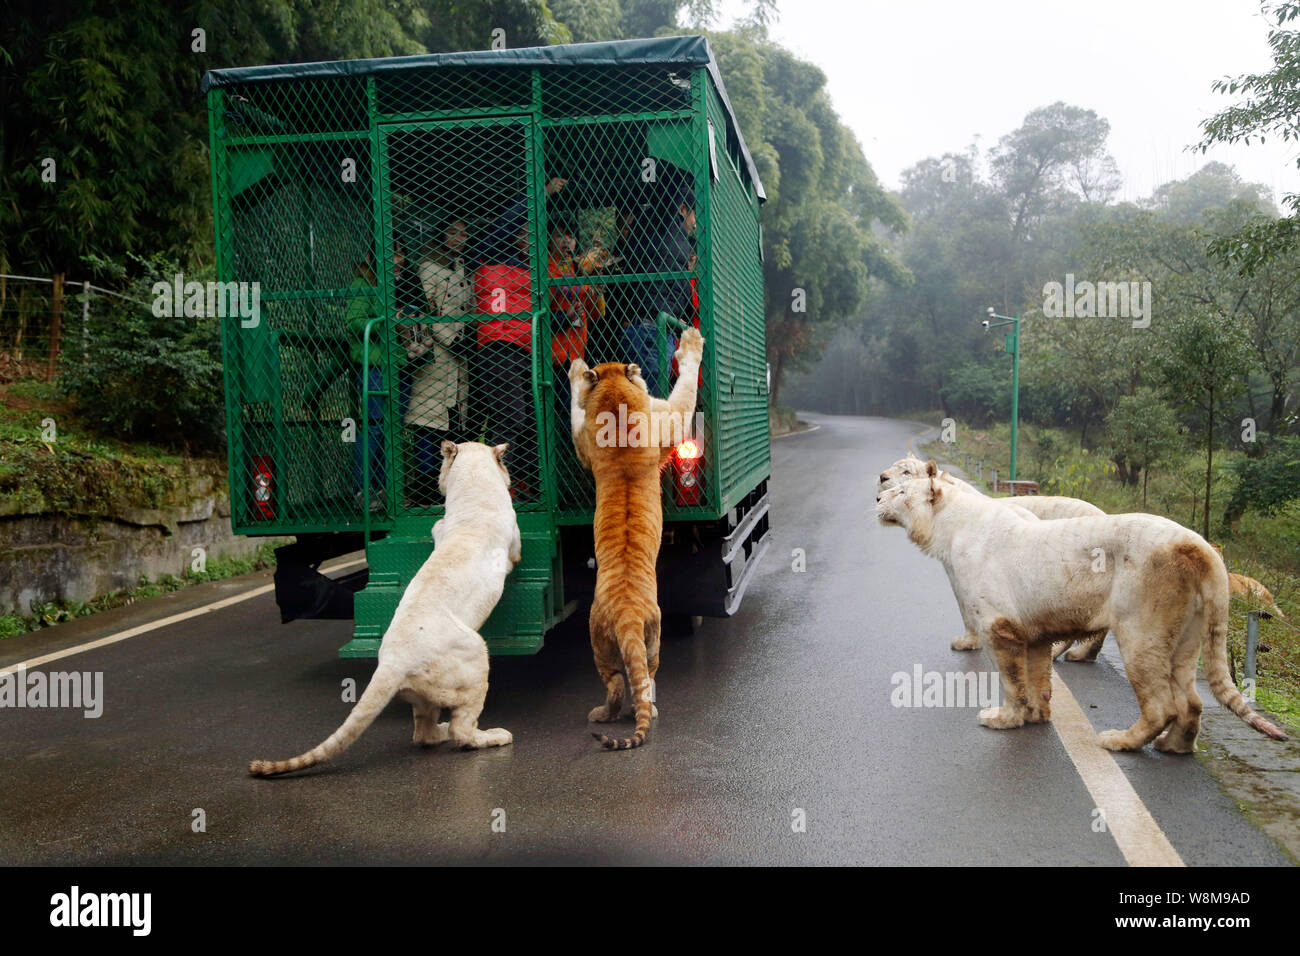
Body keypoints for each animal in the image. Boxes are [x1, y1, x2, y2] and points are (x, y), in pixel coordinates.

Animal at [569, 325, 707, 749]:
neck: (617, 406)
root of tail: (628, 614)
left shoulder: (586, 445)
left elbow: (576, 410)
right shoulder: (670, 418)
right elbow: (686, 389)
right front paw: (691, 341)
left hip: (610, 645)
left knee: (624, 684)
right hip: (639, 642)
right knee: (631, 684)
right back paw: (611, 713)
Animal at [878, 470, 1284, 754]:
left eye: (902, 490)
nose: (878, 495)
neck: (949, 527)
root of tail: (1198, 545)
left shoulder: (999, 626)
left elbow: (1011, 679)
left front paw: (1004, 719)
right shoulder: (1033, 632)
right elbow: (1037, 678)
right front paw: (1036, 716)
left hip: (1141, 631)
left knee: (1161, 705)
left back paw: (1121, 741)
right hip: (1188, 637)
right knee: (1192, 702)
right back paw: (1174, 747)